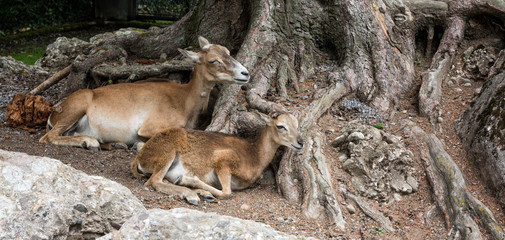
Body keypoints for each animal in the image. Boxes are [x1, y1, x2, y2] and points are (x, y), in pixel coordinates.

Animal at [39, 36, 248, 150]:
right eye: (213, 60)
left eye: (228, 52)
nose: (245, 73)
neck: (185, 101)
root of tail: (52, 114)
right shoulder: (150, 125)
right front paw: (138, 144)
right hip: (76, 106)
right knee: (48, 137)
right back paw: (89, 142)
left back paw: (116, 144)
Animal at [130, 112, 304, 204]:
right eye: (280, 126)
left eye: (297, 125)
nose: (300, 142)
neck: (254, 156)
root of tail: (139, 159)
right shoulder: (223, 160)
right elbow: (226, 192)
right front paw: (188, 180)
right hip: (167, 153)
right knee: (153, 181)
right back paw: (191, 194)